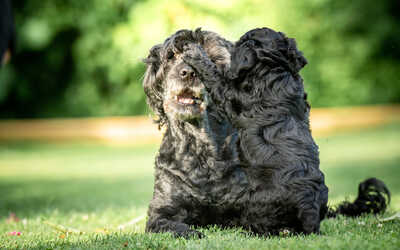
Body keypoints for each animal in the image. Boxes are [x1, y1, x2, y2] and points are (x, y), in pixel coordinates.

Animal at [143, 27, 390, 238]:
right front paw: (188, 231)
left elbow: (218, 81)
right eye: (171, 56)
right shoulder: (161, 213)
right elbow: (167, 223)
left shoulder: (230, 96)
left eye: (215, 56)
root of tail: (308, 208)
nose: (187, 72)